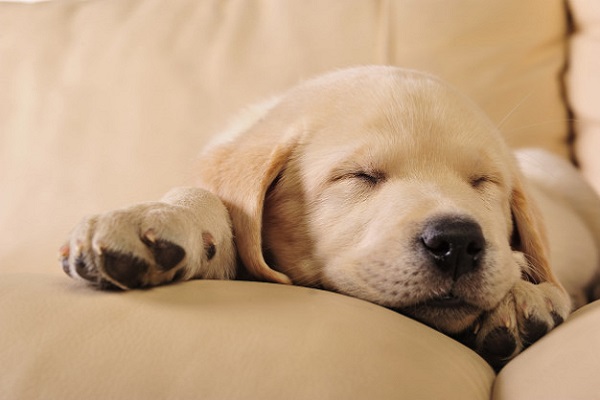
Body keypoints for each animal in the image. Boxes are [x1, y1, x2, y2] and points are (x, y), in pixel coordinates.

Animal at [59, 65, 600, 368]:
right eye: (360, 176)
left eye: (483, 183)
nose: (459, 241)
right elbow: (212, 203)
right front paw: (160, 217)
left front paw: (523, 294)